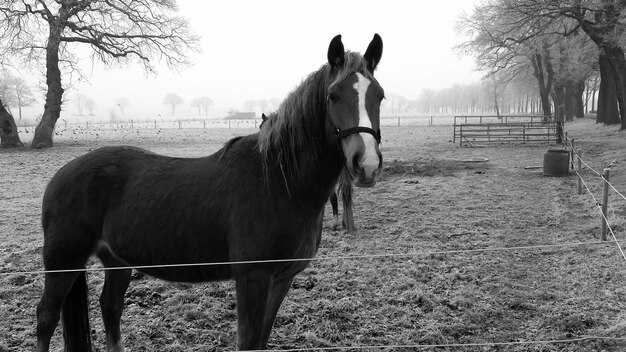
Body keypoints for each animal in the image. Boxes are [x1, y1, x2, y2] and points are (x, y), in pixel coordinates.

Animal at [37, 33, 386, 352]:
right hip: (63, 262)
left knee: (110, 307)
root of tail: (61, 175)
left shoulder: (282, 279)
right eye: (333, 96)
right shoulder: (253, 278)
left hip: (117, 260)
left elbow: (261, 339)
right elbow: (248, 342)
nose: (366, 164)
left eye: (380, 96)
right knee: (46, 318)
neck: (280, 183)